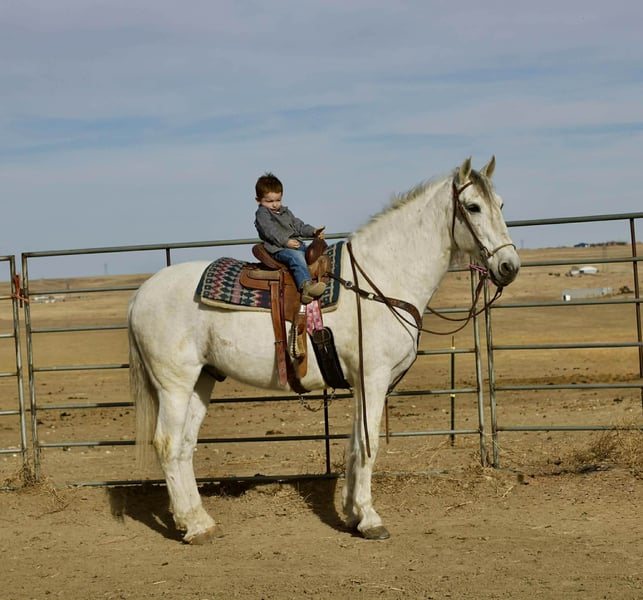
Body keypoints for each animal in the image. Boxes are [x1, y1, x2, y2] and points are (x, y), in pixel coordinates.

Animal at [128, 156, 521, 544]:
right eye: (473, 206)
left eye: (501, 205)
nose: (509, 267)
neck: (380, 279)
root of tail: (141, 294)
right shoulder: (374, 379)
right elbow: (369, 446)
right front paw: (370, 519)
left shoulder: (363, 383)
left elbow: (355, 445)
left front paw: (352, 513)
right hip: (175, 384)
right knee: (167, 444)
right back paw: (193, 527)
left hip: (202, 380)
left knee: (184, 446)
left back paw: (199, 521)